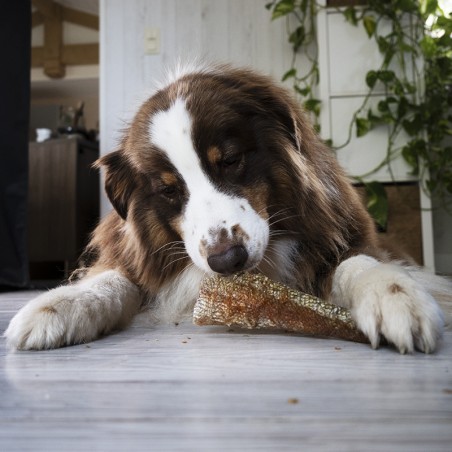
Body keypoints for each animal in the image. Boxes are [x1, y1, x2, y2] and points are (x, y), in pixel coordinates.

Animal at [4, 63, 452, 354]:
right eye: (168, 190)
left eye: (231, 160)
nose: (226, 260)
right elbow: (114, 280)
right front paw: (59, 305)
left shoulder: (341, 238)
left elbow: (357, 263)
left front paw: (393, 295)